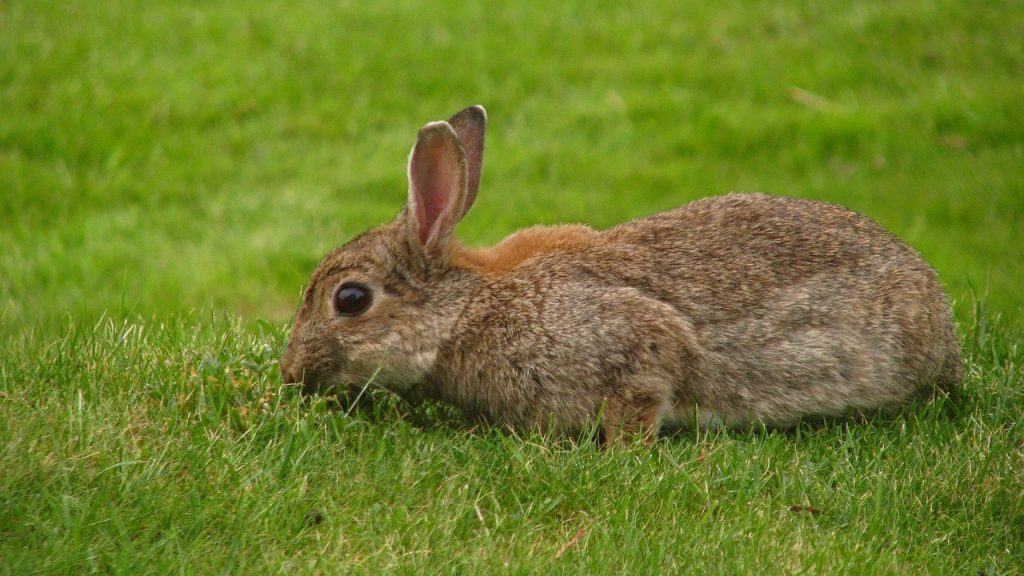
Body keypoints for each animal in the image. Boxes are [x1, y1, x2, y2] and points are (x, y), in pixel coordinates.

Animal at [278, 105, 958, 440]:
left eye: (350, 299)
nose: (290, 373)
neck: (467, 311)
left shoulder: (629, 340)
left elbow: (649, 383)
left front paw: (623, 450)